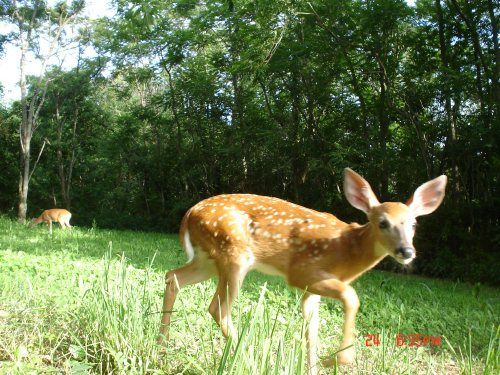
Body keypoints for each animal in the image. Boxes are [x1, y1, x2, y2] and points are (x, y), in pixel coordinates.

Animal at [159, 169, 446, 374]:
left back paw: (162, 347)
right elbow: (351, 297)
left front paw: (314, 366)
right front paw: (337, 360)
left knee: (173, 277)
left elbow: (312, 328)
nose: (406, 251)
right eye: (382, 223)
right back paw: (248, 359)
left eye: (414, 224)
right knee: (217, 307)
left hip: (208, 259)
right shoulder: (303, 272)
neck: (346, 249)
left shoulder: (311, 290)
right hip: (234, 254)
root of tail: (189, 214)